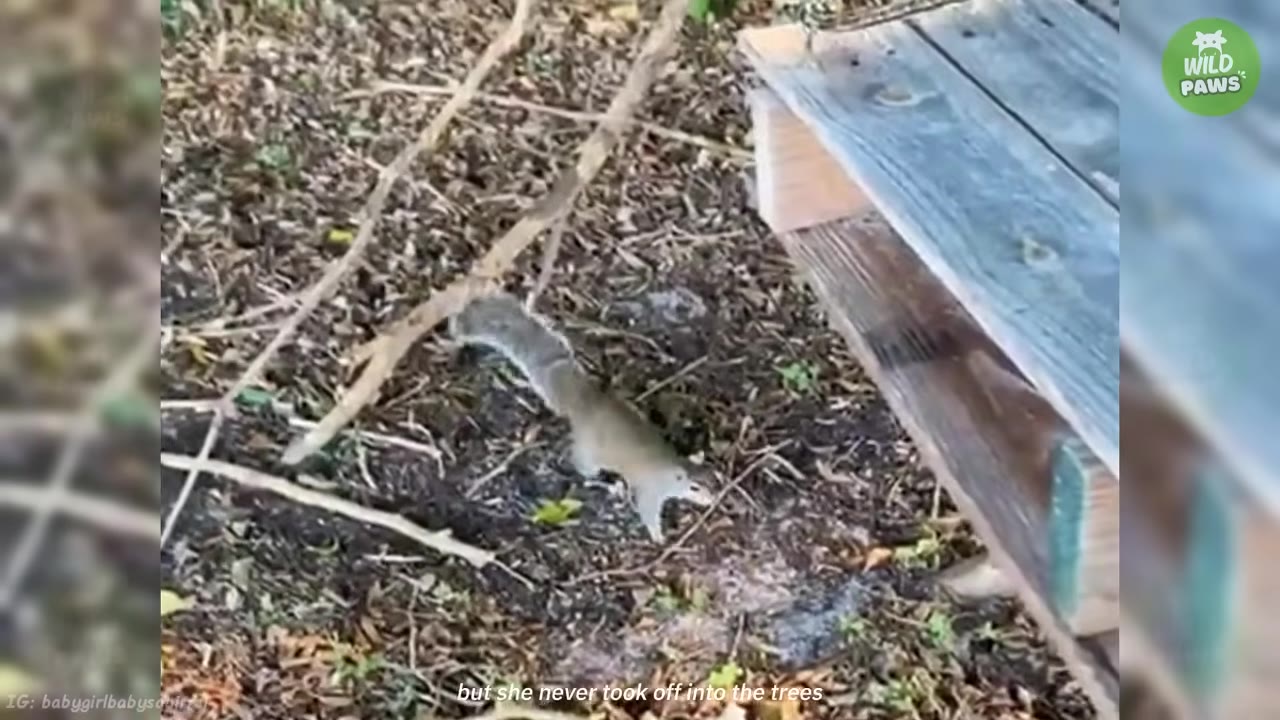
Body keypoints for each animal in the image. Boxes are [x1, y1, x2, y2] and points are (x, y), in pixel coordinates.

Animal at [449, 292, 713, 542]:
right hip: (590, 454)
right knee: (583, 468)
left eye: (713, 480)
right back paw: (605, 483)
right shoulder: (650, 492)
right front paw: (658, 537)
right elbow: (648, 511)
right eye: (694, 487)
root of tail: (583, 400)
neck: (670, 471)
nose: (710, 500)